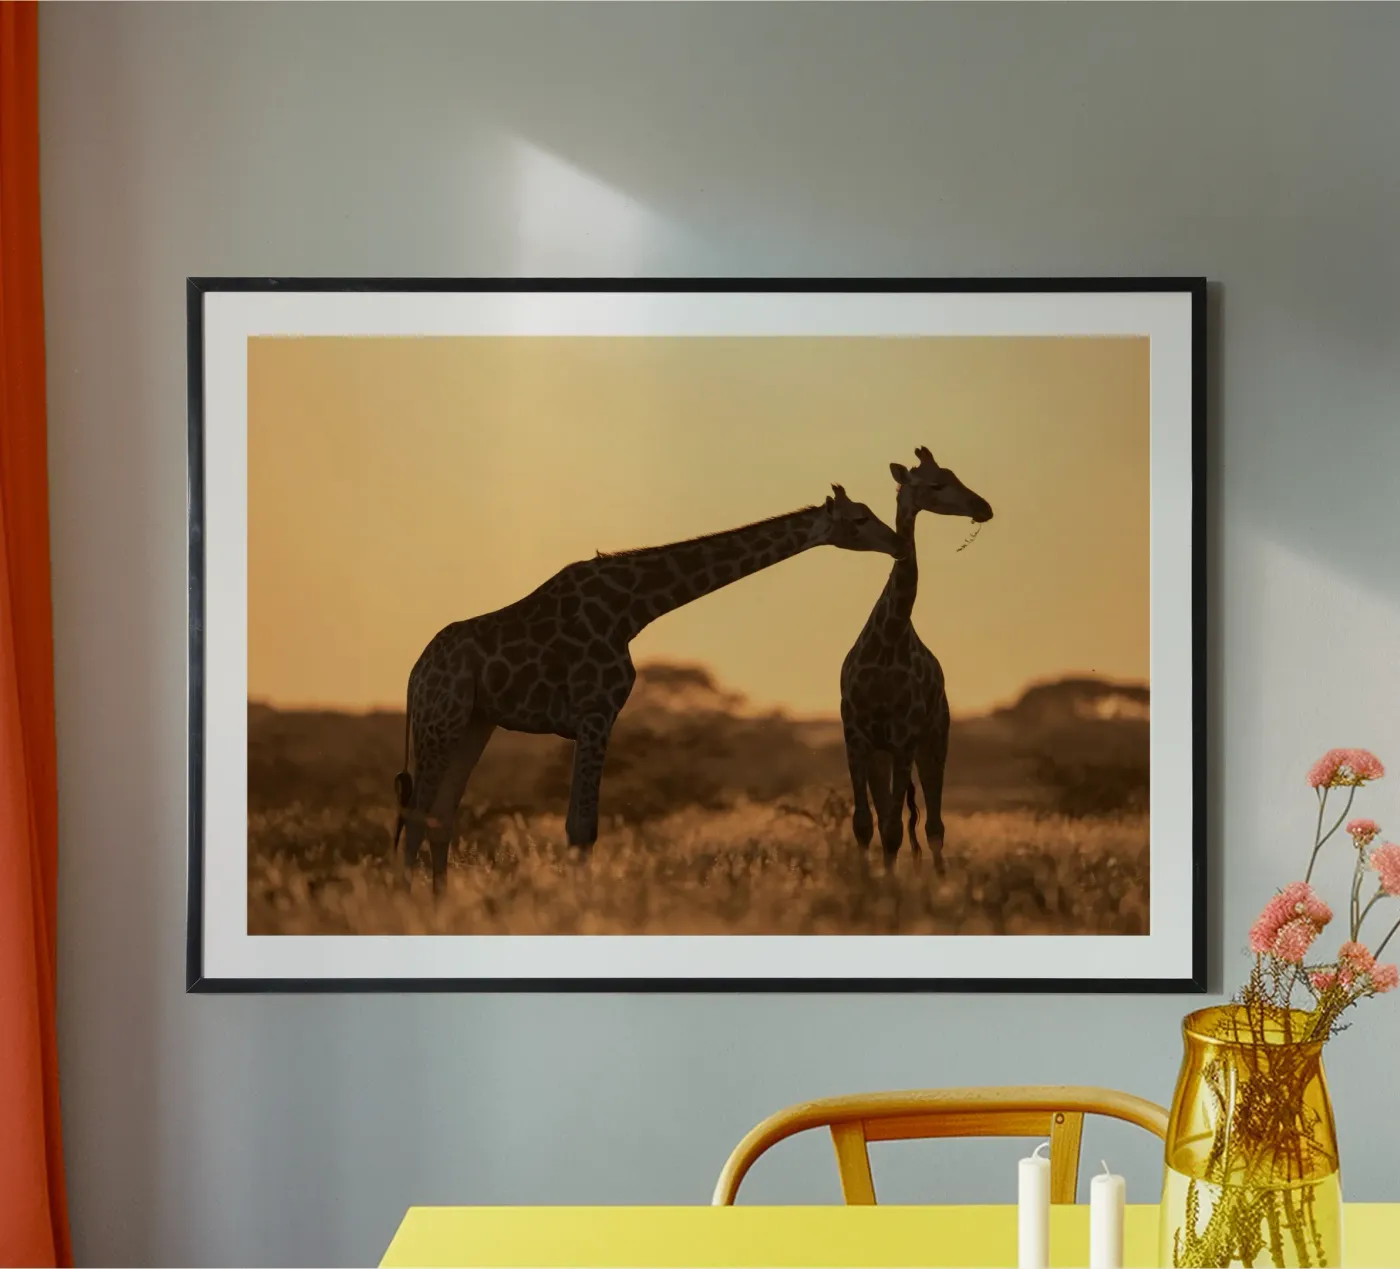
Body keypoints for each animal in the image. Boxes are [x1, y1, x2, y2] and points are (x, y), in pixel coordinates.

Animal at [394, 485, 904, 893]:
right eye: (860, 518)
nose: (898, 543)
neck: (634, 607)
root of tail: (414, 675)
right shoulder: (595, 712)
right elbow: (581, 828)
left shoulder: (593, 717)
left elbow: (581, 828)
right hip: (441, 719)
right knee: (415, 815)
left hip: (474, 723)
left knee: (439, 816)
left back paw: (439, 904)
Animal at [839, 447, 993, 871]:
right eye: (937, 484)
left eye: (954, 475)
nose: (984, 507)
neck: (888, 640)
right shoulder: (856, 735)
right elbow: (865, 825)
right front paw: (867, 882)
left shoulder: (905, 736)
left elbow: (894, 830)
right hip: (884, 753)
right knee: (891, 821)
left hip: (935, 739)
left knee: (934, 825)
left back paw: (939, 881)